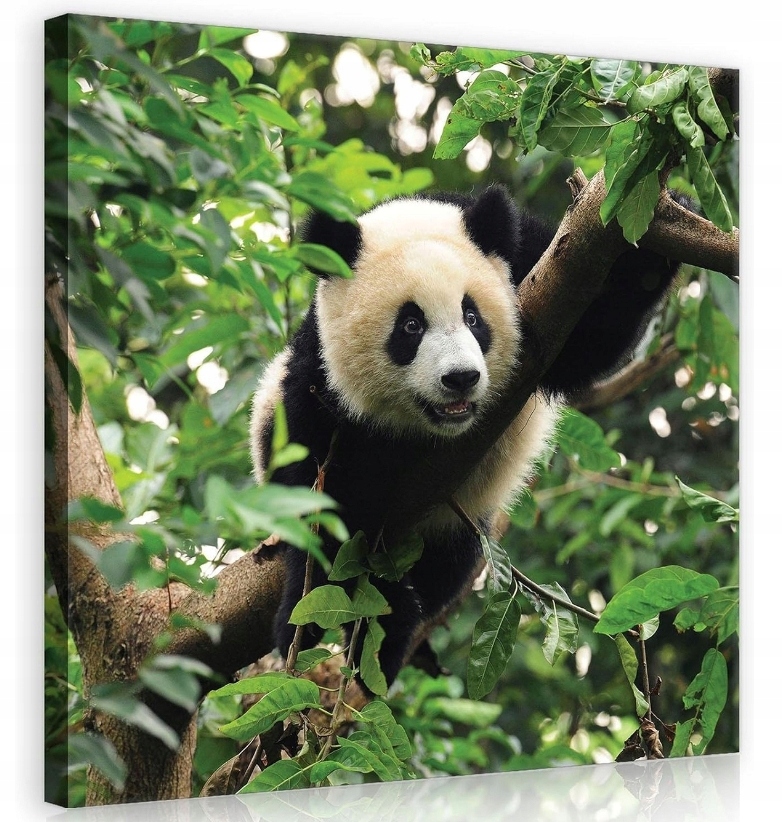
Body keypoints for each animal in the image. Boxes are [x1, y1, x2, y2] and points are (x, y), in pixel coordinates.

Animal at [250, 185, 680, 692]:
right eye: (410, 325)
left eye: (472, 316)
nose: (461, 378)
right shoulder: (318, 381)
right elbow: (325, 503)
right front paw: (367, 612)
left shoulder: (533, 266)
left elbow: (588, 339)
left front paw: (659, 233)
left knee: (446, 566)